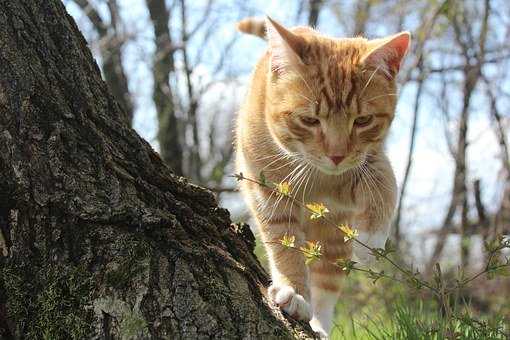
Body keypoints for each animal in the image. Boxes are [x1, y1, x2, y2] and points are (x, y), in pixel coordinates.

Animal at [235, 16, 410, 338]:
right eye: (309, 120)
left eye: (363, 120)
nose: (337, 156)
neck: (320, 178)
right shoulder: (266, 189)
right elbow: (283, 242)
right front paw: (293, 290)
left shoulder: (372, 160)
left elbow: (385, 185)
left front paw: (371, 239)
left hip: (334, 240)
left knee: (327, 283)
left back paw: (320, 325)